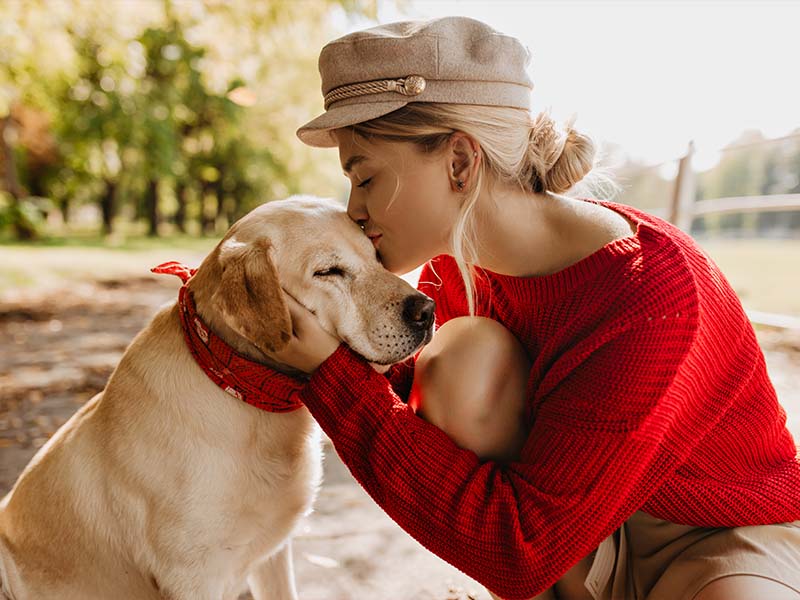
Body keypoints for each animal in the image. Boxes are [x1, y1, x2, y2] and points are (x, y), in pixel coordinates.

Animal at [0, 195, 434, 596]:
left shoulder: (273, 554)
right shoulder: (193, 578)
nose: (427, 310)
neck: (242, 389)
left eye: (376, 257)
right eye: (329, 271)